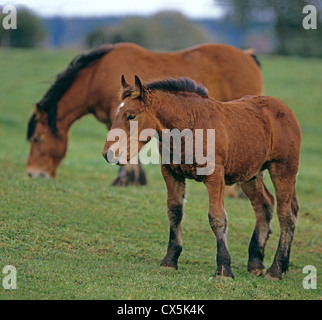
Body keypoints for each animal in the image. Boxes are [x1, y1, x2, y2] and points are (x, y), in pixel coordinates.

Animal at [103, 75, 302, 280]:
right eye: (116, 113)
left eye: (131, 115)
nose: (108, 153)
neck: (191, 125)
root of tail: (284, 108)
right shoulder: (171, 174)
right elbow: (175, 213)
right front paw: (170, 260)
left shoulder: (215, 177)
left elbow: (217, 218)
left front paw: (224, 268)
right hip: (250, 175)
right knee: (264, 205)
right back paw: (256, 262)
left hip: (283, 169)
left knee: (286, 215)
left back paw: (276, 269)